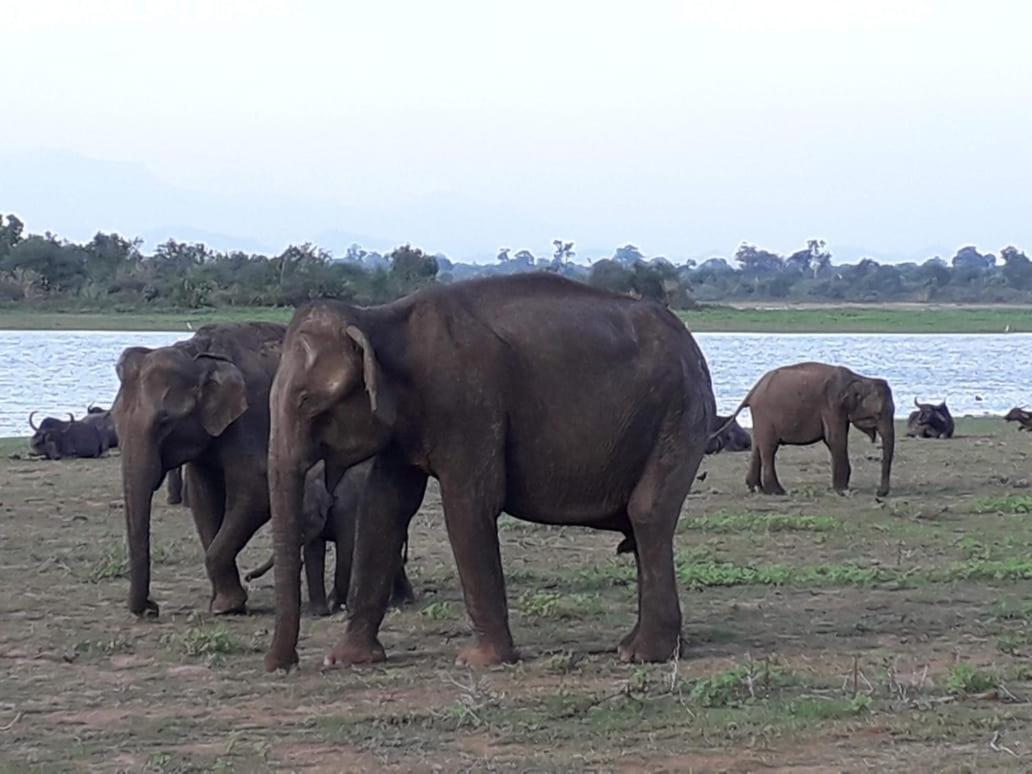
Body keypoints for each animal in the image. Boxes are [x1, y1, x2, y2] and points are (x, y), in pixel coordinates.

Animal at [243, 460, 412, 619]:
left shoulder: (347, 509)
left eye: (301, 520)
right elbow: (313, 552)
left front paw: (334, 605)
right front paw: (321, 612)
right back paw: (401, 601)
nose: (247, 578)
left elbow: (346, 549)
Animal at [262, 276, 714, 676]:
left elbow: (469, 505)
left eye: (307, 401)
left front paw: (480, 662)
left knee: (647, 514)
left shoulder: (468, 405)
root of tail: (692, 344)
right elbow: (382, 508)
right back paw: (643, 647)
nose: (284, 666)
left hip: (679, 415)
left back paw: (642, 655)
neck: (379, 319)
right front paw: (345, 660)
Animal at [718, 363, 895, 497]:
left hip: (760, 418)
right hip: (765, 414)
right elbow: (836, 439)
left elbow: (834, 440)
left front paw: (840, 488)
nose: (879, 493)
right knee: (769, 449)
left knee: (757, 447)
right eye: (879, 414)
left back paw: (755, 488)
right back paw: (777, 491)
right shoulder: (832, 406)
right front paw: (842, 490)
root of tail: (753, 391)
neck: (860, 379)